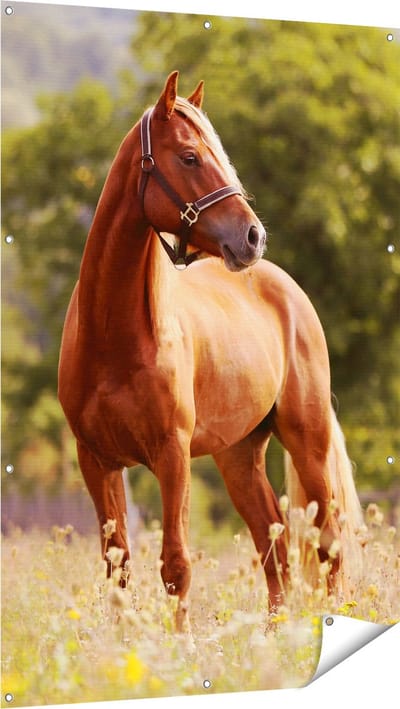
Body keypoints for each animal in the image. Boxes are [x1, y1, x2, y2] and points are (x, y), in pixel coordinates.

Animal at [58, 71, 363, 631]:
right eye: (189, 157)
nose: (253, 236)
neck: (114, 336)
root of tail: (286, 287)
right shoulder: (96, 460)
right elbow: (118, 566)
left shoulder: (172, 454)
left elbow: (175, 564)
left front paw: (181, 644)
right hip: (238, 455)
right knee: (274, 545)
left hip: (306, 441)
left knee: (327, 544)